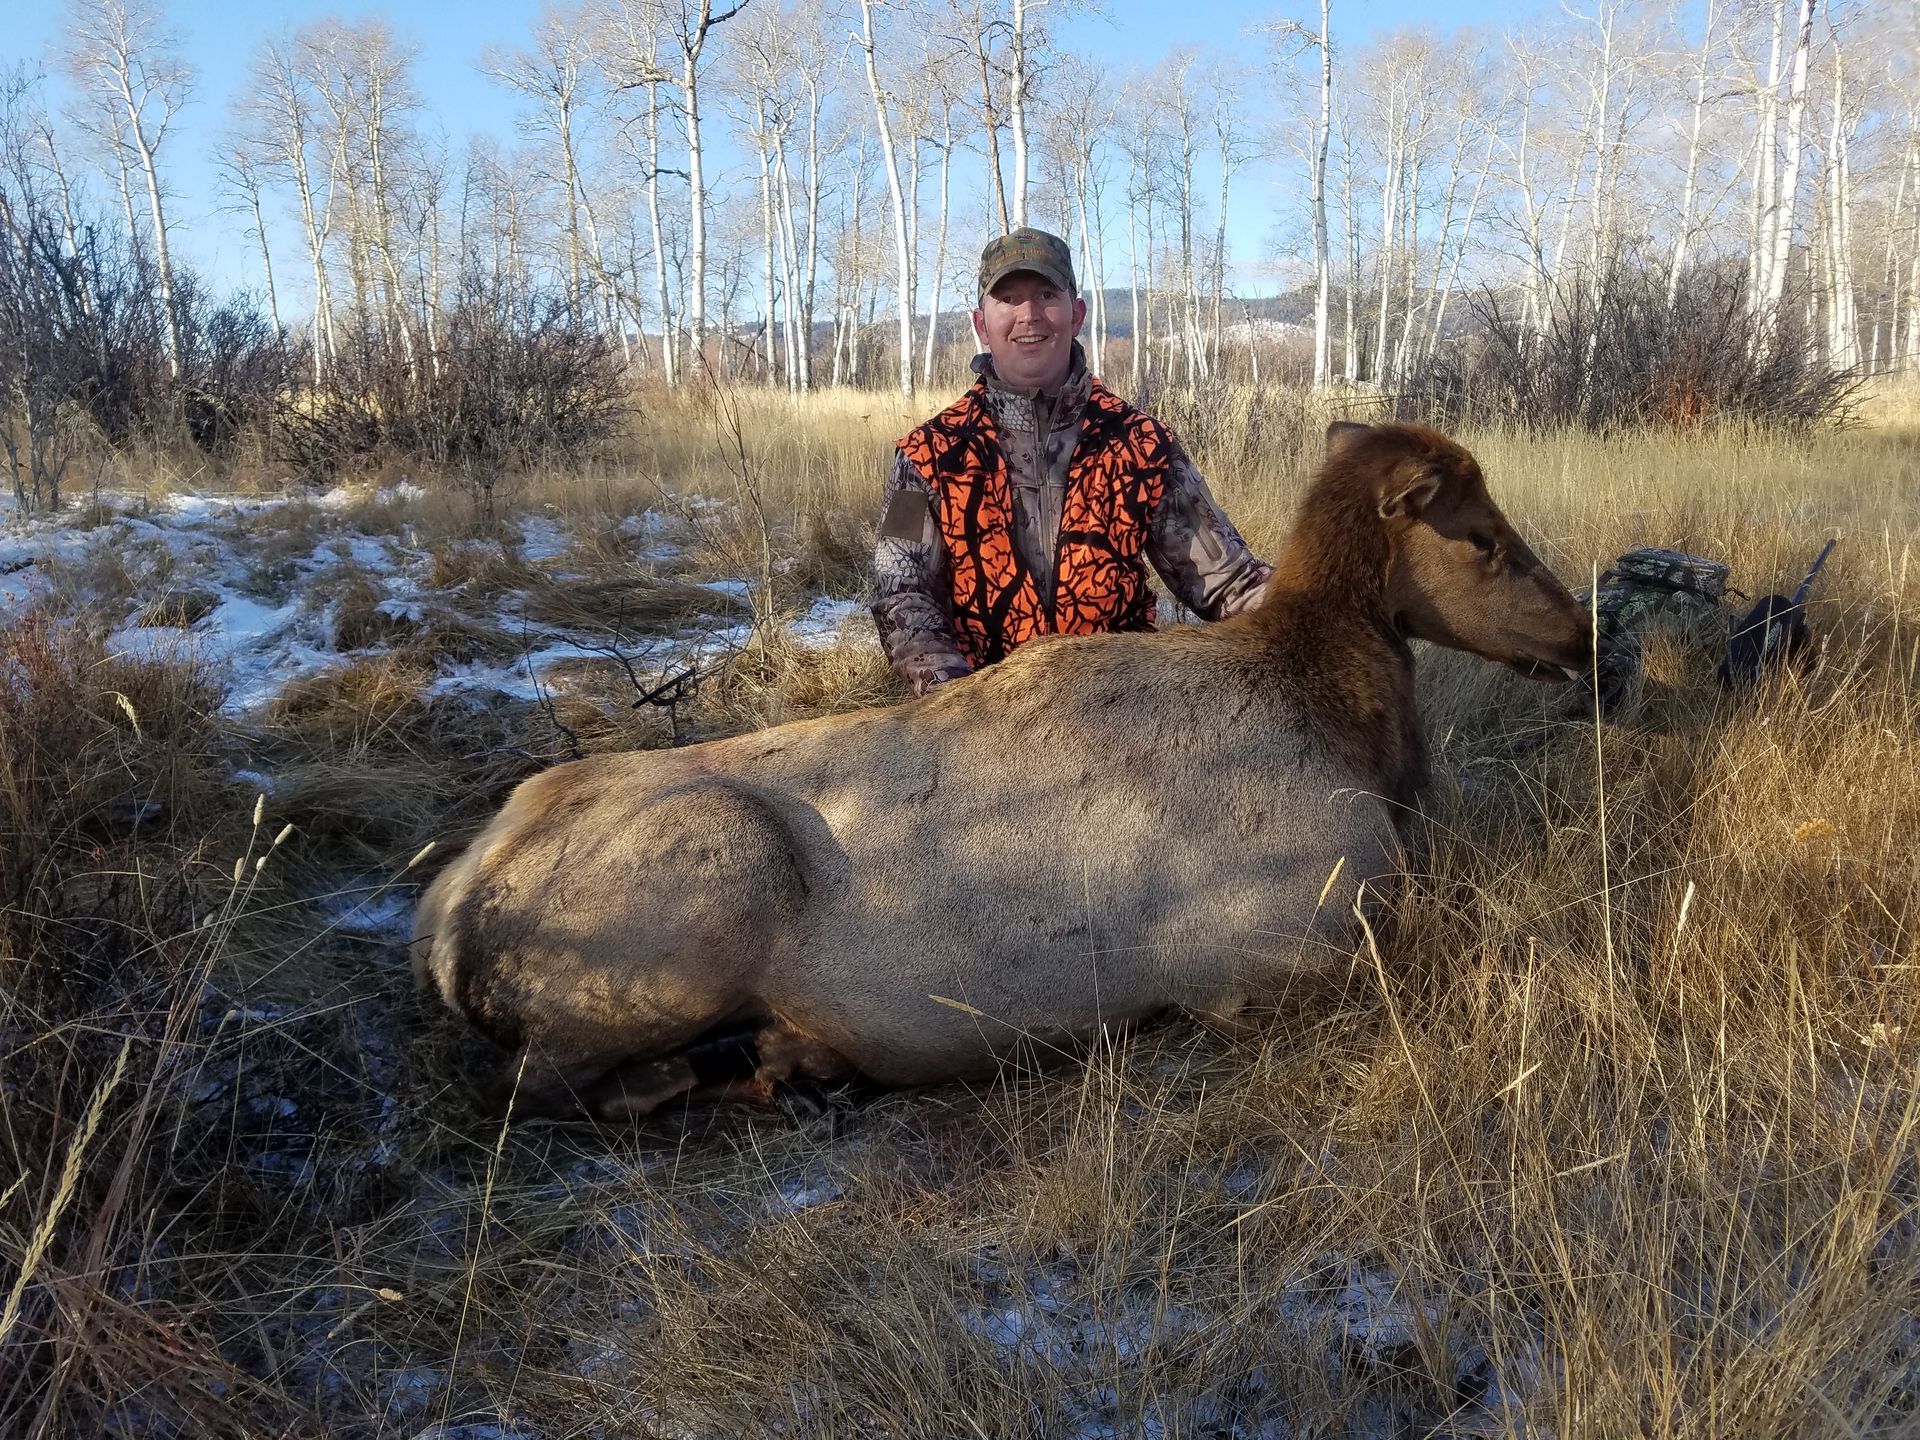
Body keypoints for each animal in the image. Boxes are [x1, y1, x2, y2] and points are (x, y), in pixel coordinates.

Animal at [411, 420, 1592, 1120]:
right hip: (698, 892)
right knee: (538, 1085)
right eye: (1482, 537)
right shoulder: (1277, 943)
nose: (1581, 633)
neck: (1352, 733)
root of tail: (452, 903)